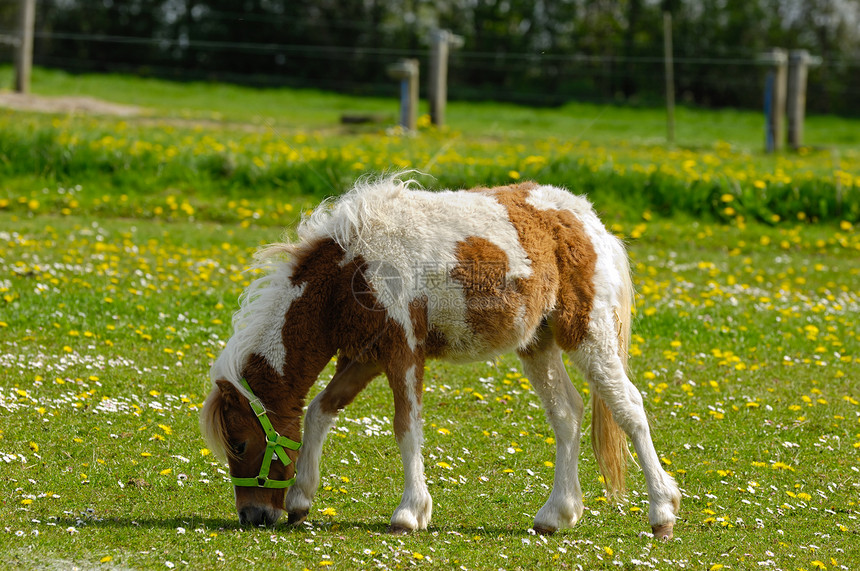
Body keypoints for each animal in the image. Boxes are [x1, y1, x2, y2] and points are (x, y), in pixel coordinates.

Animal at [198, 175, 680, 540]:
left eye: (239, 443)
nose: (253, 516)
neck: (350, 272)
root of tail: (591, 223)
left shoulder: (403, 352)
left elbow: (405, 428)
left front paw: (410, 513)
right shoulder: (364, 357)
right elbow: (319, 410)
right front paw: (301, 499)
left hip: (587, 333)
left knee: (628, 407)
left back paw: (662, 512)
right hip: (537, 343)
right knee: (567, 414)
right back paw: (557, 514)